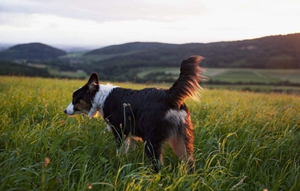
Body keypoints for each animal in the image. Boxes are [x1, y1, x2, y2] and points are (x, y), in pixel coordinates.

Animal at [64, 55, 203, 173]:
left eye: (75, 98)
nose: (65, 111)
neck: (101, 97)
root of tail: (169, 95)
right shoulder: (129, 134)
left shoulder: (120, 132)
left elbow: (119, 152)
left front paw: (118, 164)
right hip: (181, 138)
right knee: (189, 161)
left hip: (152, 141)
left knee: (158, 165)